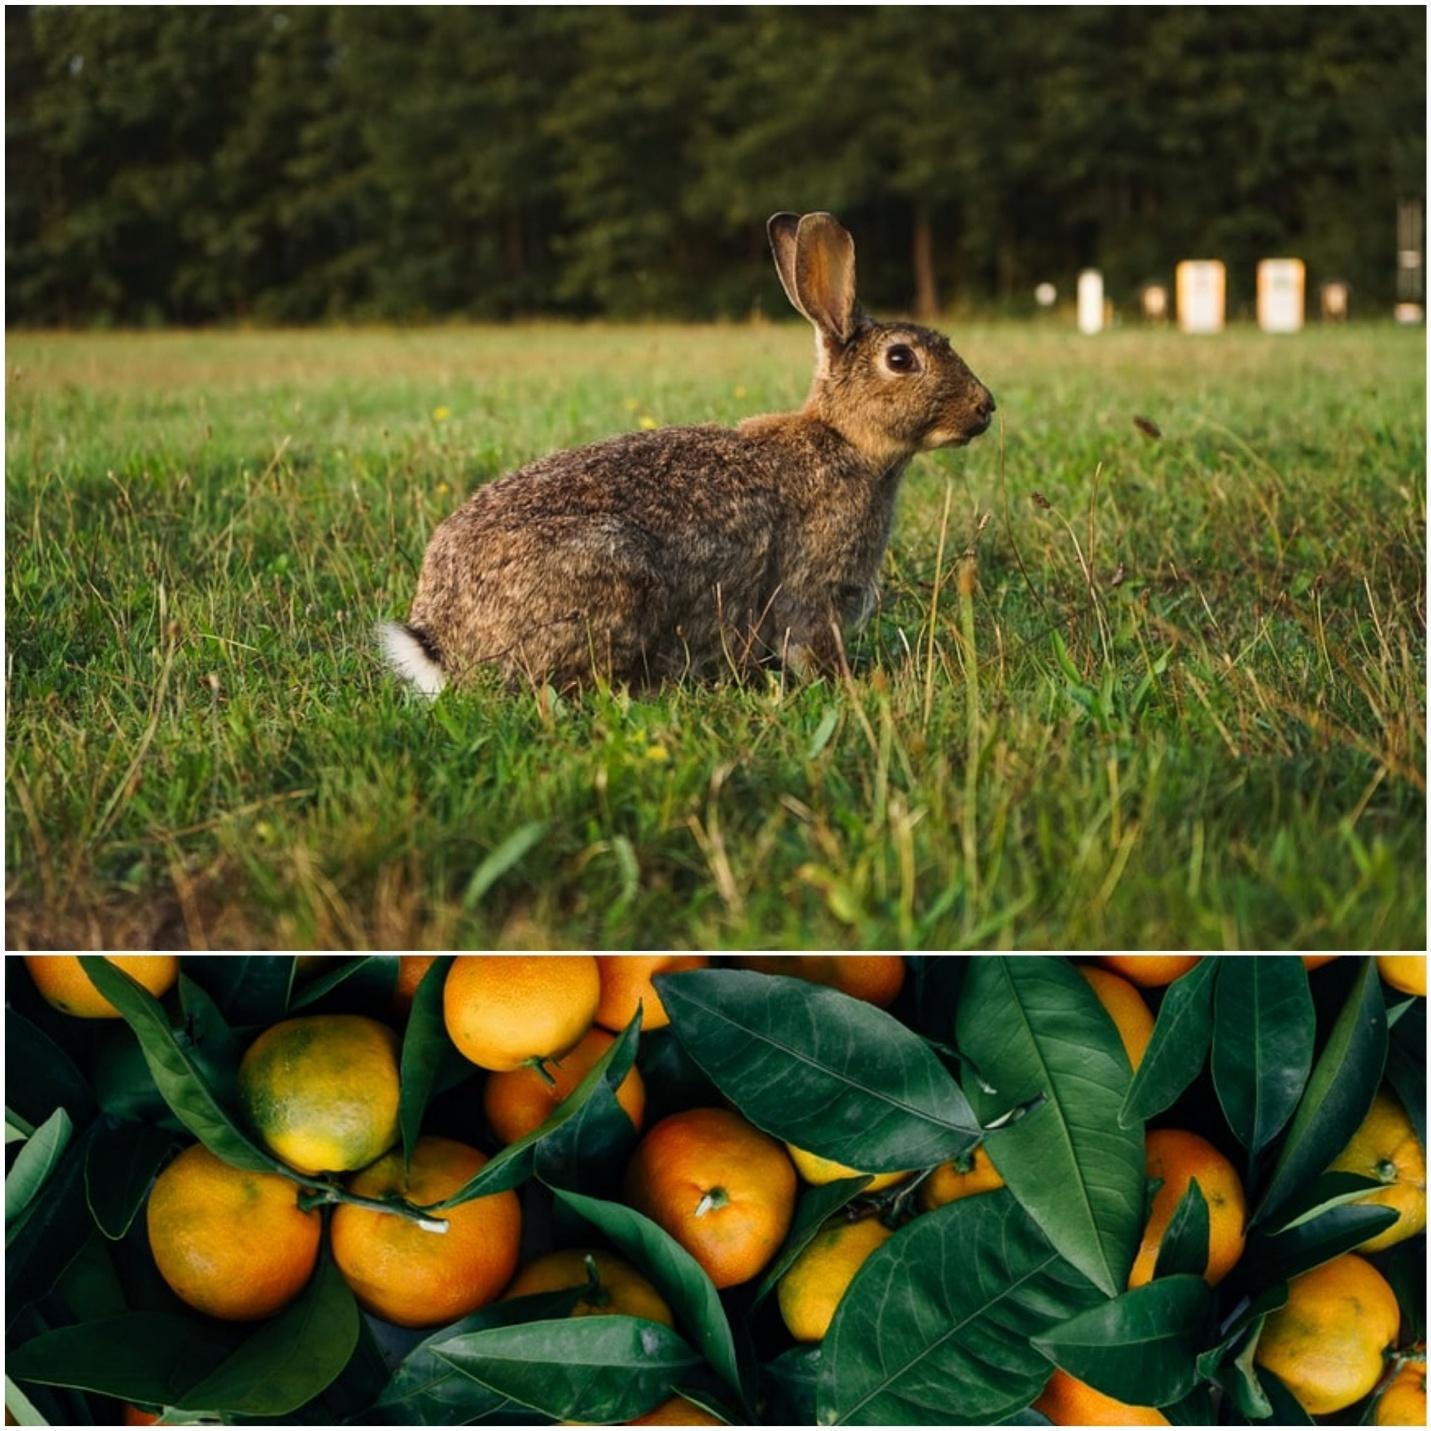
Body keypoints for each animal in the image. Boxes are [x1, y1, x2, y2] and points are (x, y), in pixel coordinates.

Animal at [378, 211, 995, 696]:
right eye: (900, 359)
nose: (985, 407)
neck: (844, 438)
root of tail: (438, 640)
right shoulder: (812, 589)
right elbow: (808, 644)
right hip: (615, 571)